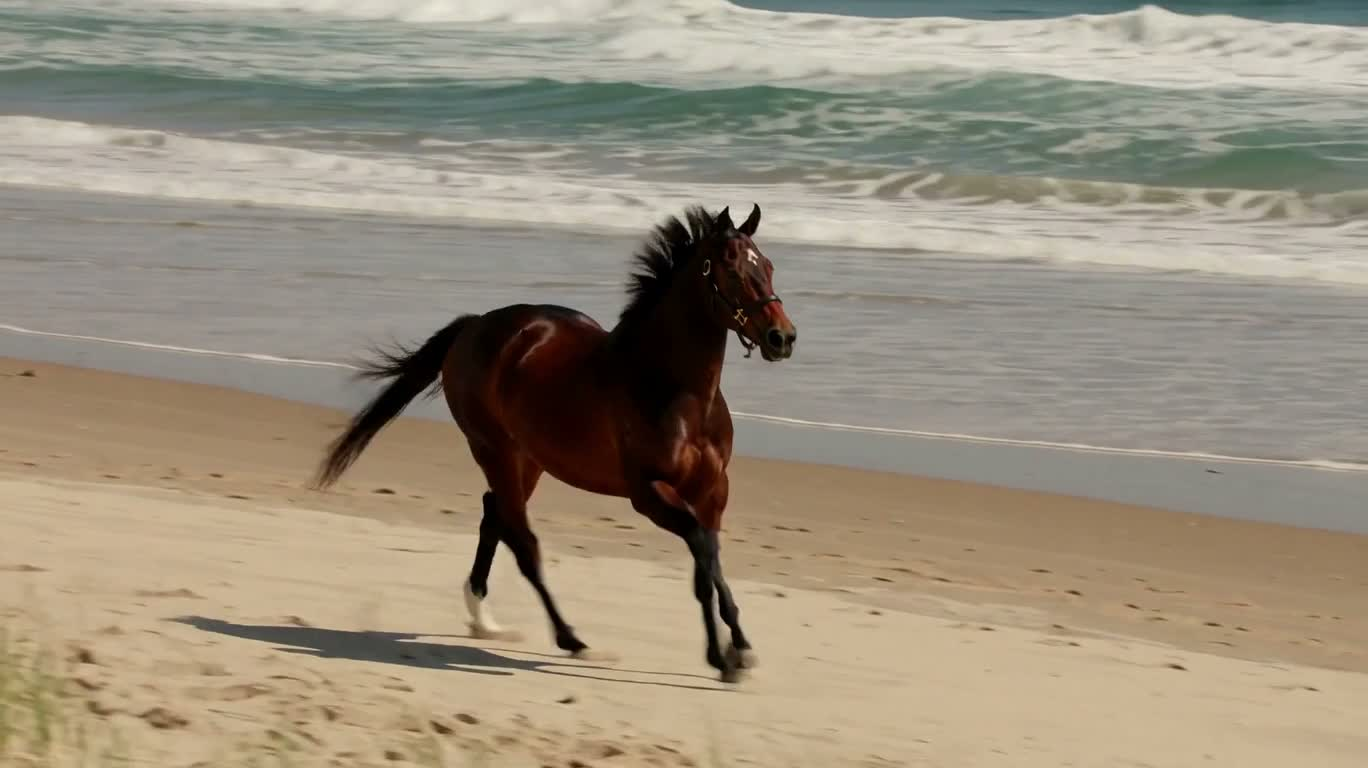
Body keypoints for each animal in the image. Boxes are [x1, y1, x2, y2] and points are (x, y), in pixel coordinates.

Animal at [312, 203, 797, 683]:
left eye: (768, 265)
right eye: (732, 269)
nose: (783, 338)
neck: (675, 390)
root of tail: (474, 327)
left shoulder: (713, 491)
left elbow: (709, 562)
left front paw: (737, 650)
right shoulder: (649, 493)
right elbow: (702, 555)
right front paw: (725, 656)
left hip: (528, 459)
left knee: (495, 516)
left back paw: (483, 619)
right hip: (493, 449)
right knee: (522, 541)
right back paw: (572, 640)